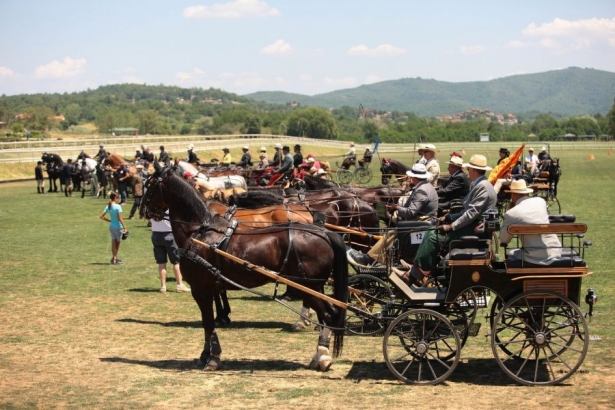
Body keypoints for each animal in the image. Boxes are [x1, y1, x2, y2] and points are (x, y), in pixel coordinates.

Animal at [141, 163, 348, 372]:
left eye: (149, 185)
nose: (143, 210)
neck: (199, 231)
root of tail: (324, 233)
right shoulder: (209, 285)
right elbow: (209, 318)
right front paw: (206, 353)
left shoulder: (200, 288)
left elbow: (208, 322)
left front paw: (212, 357)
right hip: (314, 286)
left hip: (308, 286)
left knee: (329, 315)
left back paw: (322, 356)